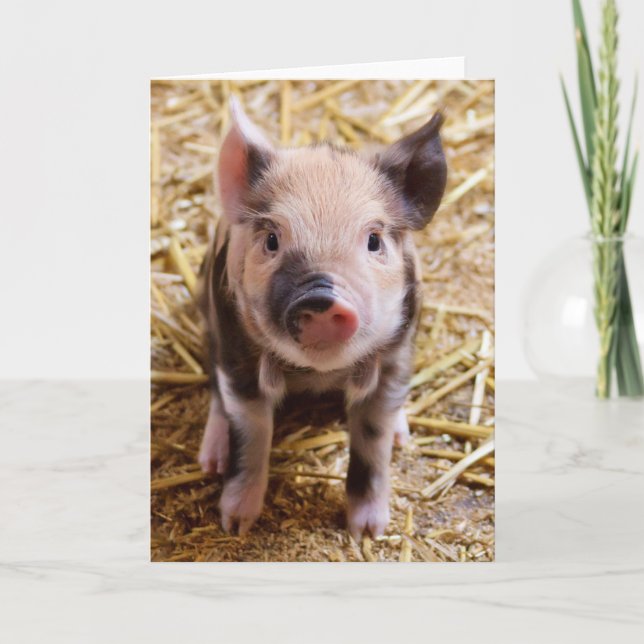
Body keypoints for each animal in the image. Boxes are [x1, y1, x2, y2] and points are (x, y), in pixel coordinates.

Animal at [197, 97, 446, 539]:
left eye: (374, 241)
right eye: (272, 239)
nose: (321, 297)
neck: (318, 374)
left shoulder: (397, 355)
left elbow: (373, 439)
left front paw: (368, 532)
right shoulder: (235, 351)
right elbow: (251, 434)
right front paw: (236, 524)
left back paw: (404, 438)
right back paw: (210, 461)